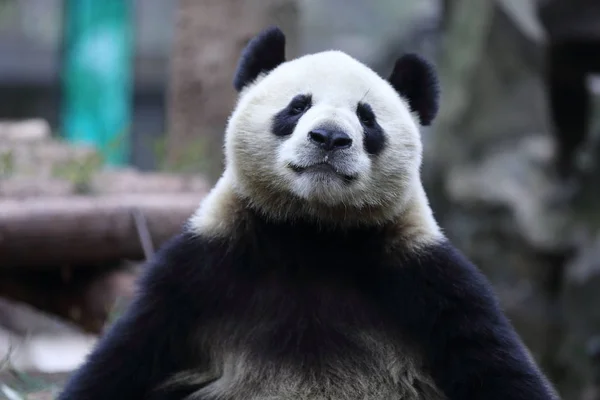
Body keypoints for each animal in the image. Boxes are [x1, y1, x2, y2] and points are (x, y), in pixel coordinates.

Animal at [58, 27, 560, 400]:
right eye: (297, 106)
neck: (314, 232)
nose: (330, 138)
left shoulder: (428, 283)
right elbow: (124, 360)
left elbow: (497, 369)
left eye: (367, 118)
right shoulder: (197, 278)